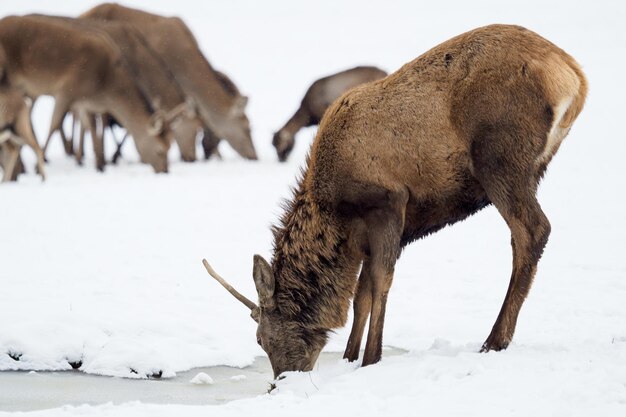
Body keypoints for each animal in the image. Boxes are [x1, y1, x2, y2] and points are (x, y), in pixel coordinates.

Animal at [0, 13, 173, 172]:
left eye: (170, 147)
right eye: (160, 150)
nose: (164, 172)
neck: (105, 87)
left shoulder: (85, 102)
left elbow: (91, 127)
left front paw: (100, 164)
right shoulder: (66, 90)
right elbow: (54, 124)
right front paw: (39, 164)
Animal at [204, 24, 584, 378]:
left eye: (261, 338)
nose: (281, 380)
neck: (335, 214)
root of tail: (575, 78)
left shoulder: (389, 202)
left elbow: (380, 282)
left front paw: (371, 358)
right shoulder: (368, 236)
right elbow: (360, 294)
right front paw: (349, 356)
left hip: (500, 159)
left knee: (532, 231)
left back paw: (494, 340)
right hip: (534, 167)